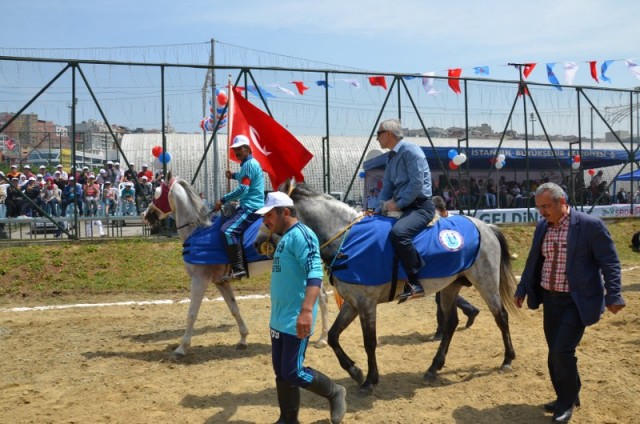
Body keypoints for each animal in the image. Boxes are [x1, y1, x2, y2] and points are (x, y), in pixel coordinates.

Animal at [144, 175, 330, 358]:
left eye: (157, 192)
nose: (146, 214)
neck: (198, 231)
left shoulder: (199, 280)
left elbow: (192, 313)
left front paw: (181, 348)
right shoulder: (221, 282)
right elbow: (234, 309)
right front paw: (243, 339)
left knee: (321, 298)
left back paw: (322, 338)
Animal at [256, 181, 520, 394]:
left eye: (268, 215)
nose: (258, 242)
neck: (348, 238)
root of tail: (485, 227)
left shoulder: (366, 305)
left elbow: (369, 342)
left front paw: (370, 380)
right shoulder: (352, 304)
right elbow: (333, 336)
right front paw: (355, 371)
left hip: (486, 282)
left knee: (501, 316)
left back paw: (507, 359)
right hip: (450, 286)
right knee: (450, 324)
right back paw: (433, 367)